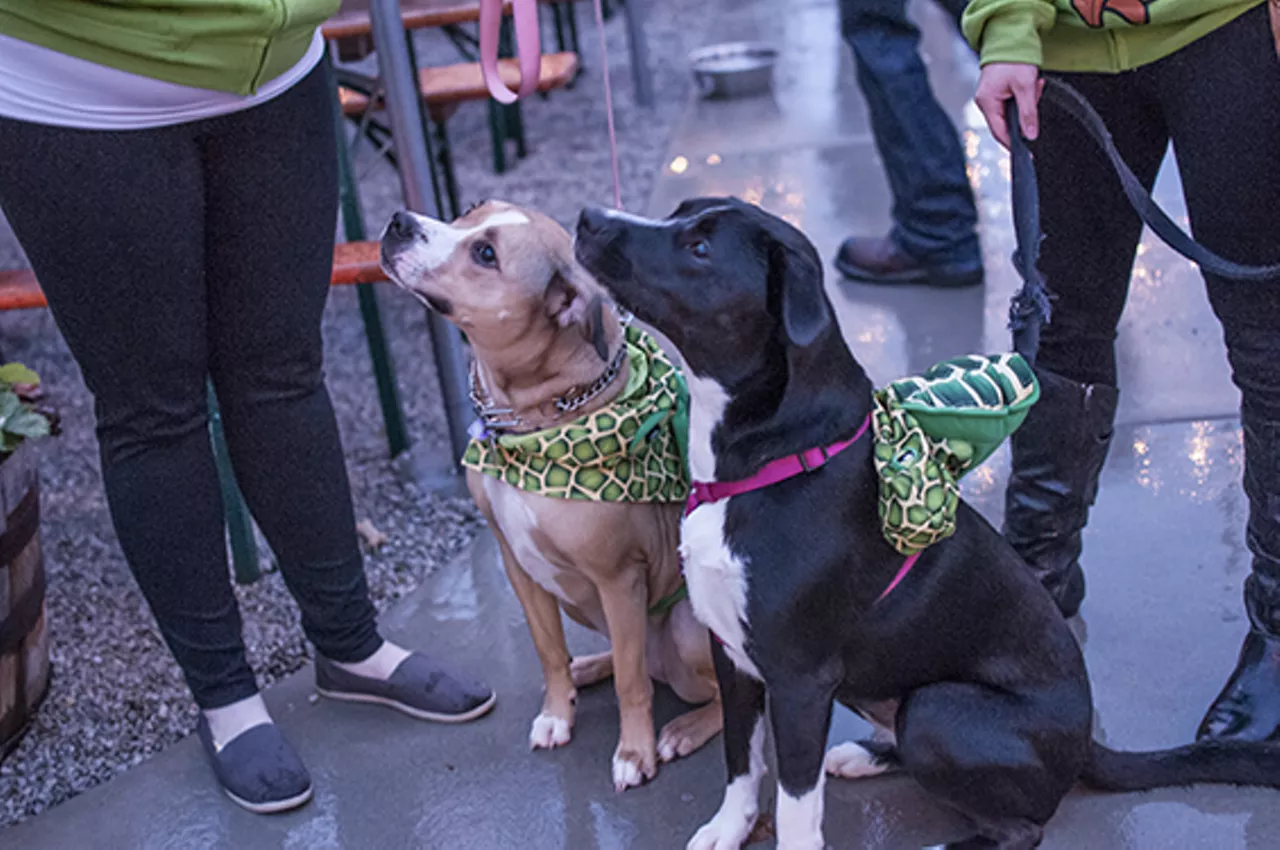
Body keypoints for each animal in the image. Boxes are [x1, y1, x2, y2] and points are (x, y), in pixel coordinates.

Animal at [376, 200, 721, 788]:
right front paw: (558, 713)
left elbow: (632, 684)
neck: (538, 417)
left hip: (685, 631)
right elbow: (548, 650)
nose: (400, 220)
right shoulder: (516, 562)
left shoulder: (619, 578)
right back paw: (590, 667)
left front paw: (635, 753)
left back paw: (684, 730)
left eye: (485, 254)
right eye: (469, 211)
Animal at [576, 199, 1280, 850]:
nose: (587, 218)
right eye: (680, 214)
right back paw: (868, 755)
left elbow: (797, 804)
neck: (766, 458)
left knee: (1023, 828)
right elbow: (741, 763)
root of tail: (1085, 744)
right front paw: (730, 827)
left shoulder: (799, 680)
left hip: (938, 710)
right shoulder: (733, 654)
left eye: (698, 248)